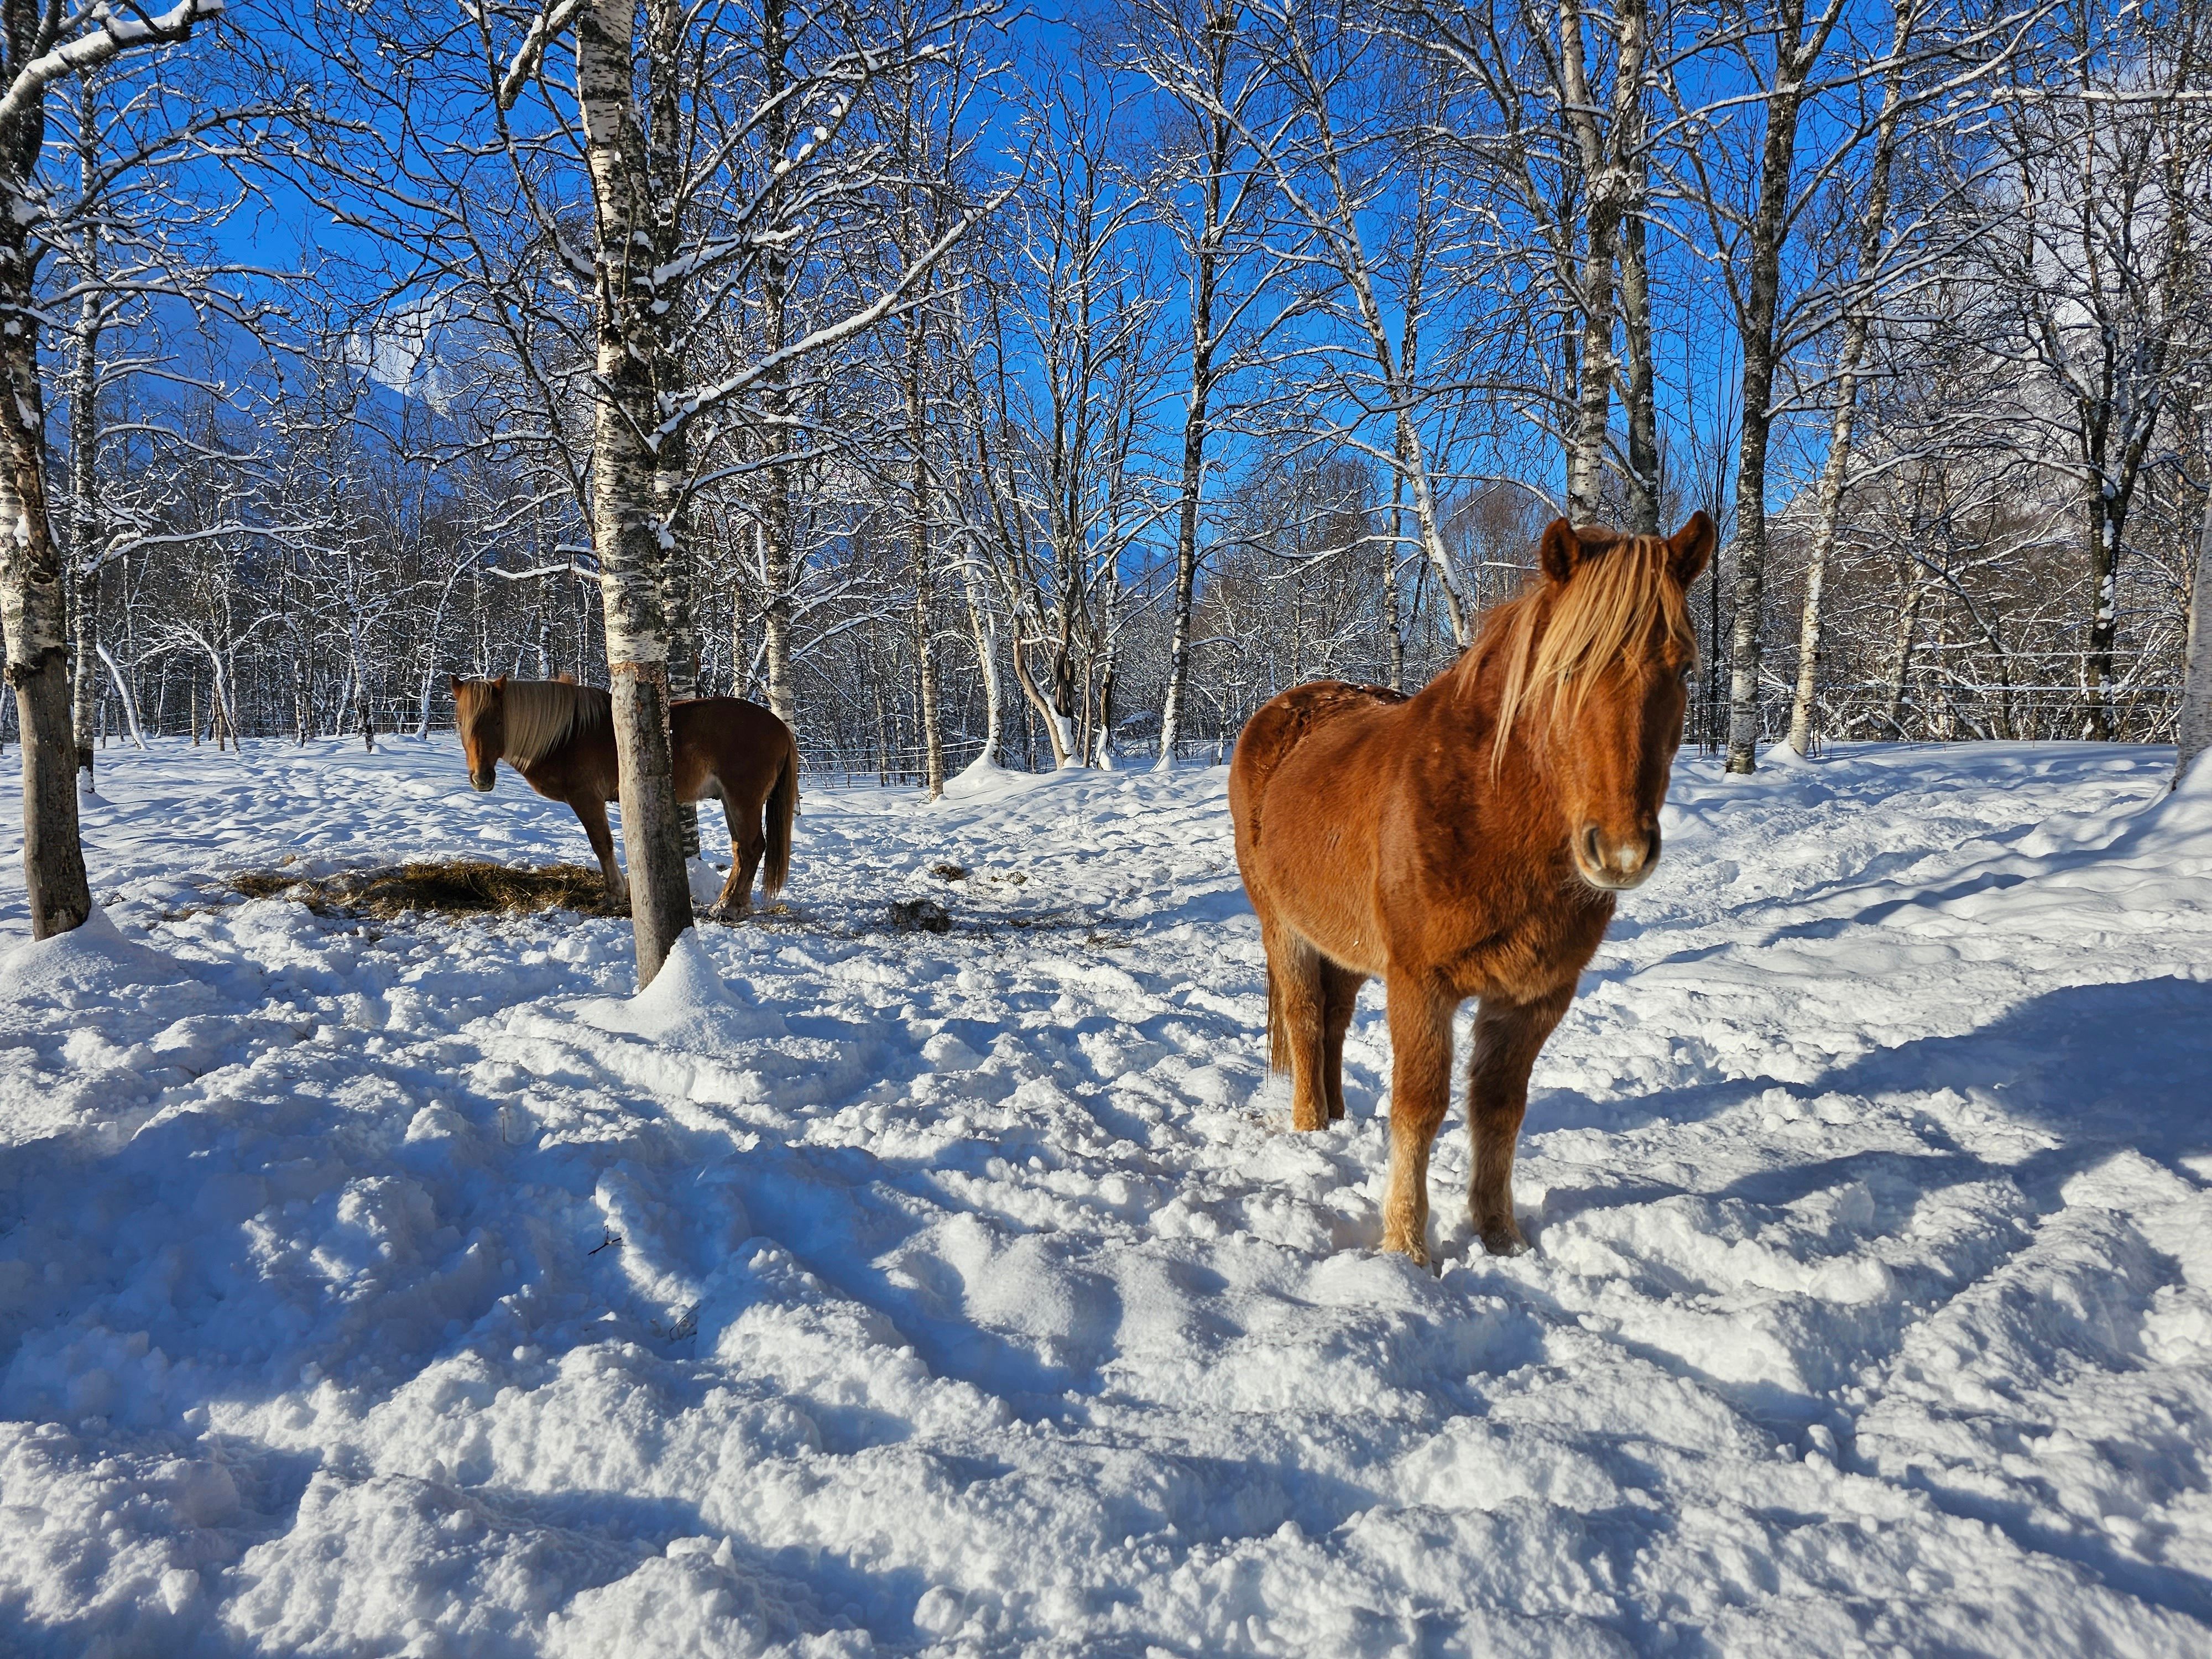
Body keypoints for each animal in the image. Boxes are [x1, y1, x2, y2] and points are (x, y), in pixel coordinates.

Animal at [450, 676, 799, 920]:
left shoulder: (586, 798)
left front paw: (614, 895)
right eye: (461, 722)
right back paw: (727, 903)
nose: (481, 779)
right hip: (731, 801)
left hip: (742, 800)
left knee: (752, 848)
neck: (568, 734)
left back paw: (730, 908)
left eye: (498, 721)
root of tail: (779, 726)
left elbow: (602, 843)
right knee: (742, 850)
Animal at [1227, 512, 1713, 1266]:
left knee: (1332, 1021)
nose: (1621, 851)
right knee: (1306, 1021)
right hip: (1285, 928)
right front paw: (1405, 1248)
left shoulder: (1534, 996)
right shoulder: (1419, 984)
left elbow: (1499, 1110)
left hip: (1346, 942)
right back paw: (1311, 1131)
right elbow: (1420, 1107)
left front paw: (1499, 1237)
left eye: (1684, 668)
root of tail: (1285, 707)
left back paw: (1337, 1121)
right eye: (1564, 668)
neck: (1486, 809)